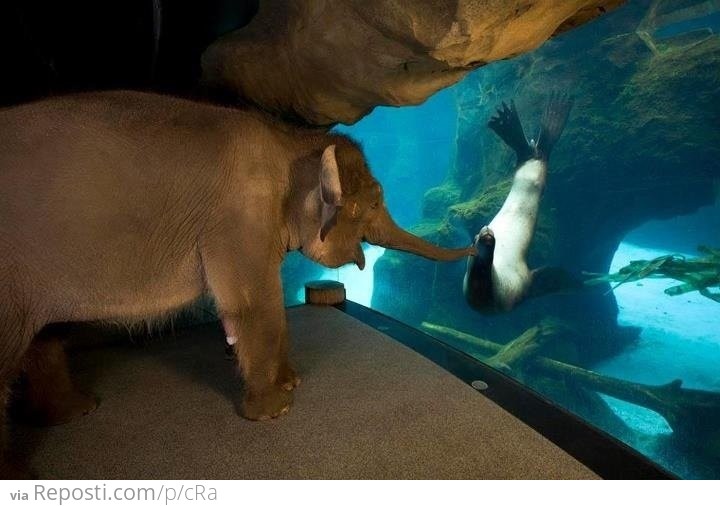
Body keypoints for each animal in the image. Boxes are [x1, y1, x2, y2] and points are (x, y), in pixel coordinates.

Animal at [0, 90, 472, 474]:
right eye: (373, 204)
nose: (476, 240)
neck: (290, 140)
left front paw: (291, 383)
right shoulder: (237, 218)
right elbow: (255, 305)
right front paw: (275, 410)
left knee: (45, 337)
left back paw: (76, 411)